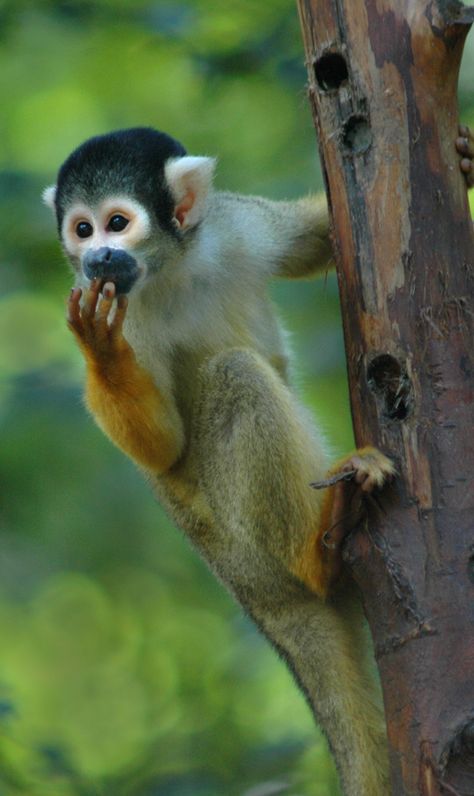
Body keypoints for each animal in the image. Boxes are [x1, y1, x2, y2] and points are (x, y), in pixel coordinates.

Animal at [43, 126, 396, 796]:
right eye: (81, 229)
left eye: (116, 224)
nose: (96, 258)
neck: (171, 269)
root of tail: (253, 596)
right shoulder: (118, 308)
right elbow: (163, 446)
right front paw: (102, 353)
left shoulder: (232, 226)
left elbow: (313, 239)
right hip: (239, 541)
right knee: (233, 378)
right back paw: (321, 549)